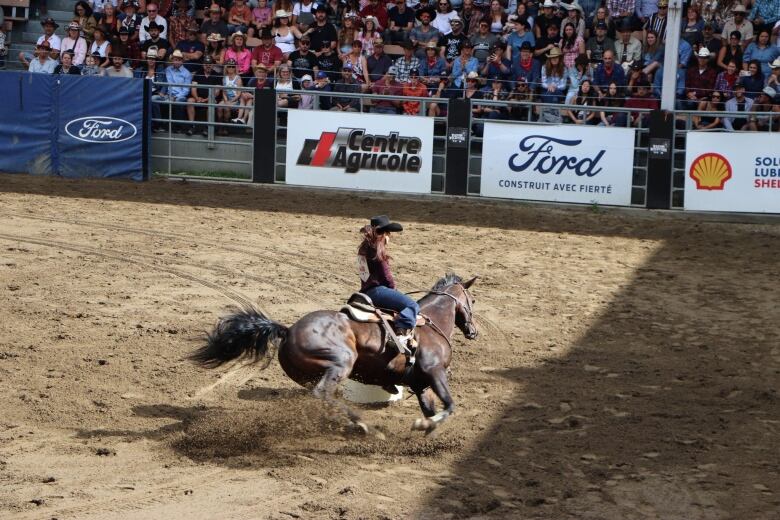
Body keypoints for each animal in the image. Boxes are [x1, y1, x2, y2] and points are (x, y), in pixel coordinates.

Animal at [192, 274, 478, 432]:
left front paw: (428, 431)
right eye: (472, 300)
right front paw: (425, 426)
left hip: (308, 376)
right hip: (341, 363)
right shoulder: (435, 372)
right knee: (324, 394)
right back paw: (362, 425)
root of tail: (288, 330)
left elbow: (432, 410)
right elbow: (449, 405)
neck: (431, 322)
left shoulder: (421, 385)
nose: (473, 331)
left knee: (322, 398)